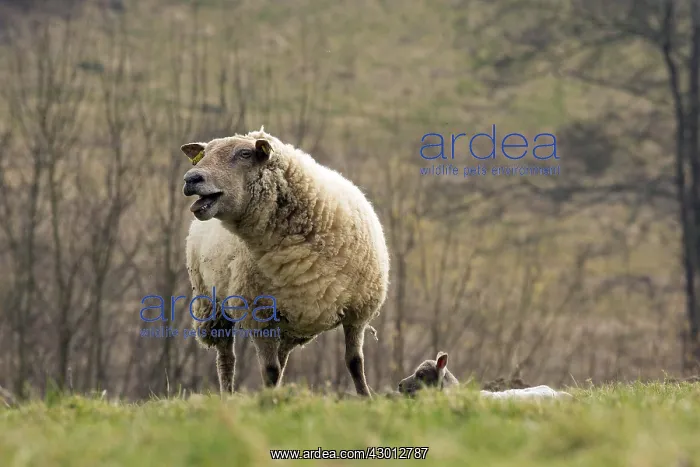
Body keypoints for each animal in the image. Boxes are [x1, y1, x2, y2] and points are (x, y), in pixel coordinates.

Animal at [180, 127, 389, 397]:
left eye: (245, 154)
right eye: (203, 154)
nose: (191, 179)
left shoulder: (358, 311)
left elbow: (354, 362)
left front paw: (366, 397)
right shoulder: (258, 314)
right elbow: (269, 370)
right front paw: (269, 399)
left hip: (291, 323)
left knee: (282, 357)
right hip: (212, 304)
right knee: (227, 358)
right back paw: (228, 394)